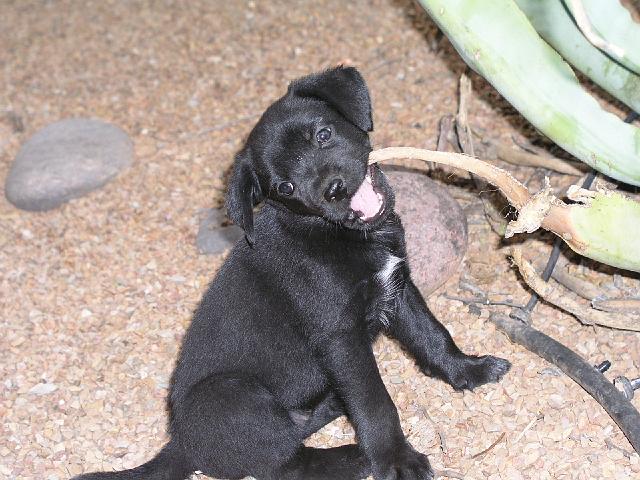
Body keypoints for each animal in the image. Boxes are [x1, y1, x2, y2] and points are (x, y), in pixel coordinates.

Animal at [75, 67, 512, 480]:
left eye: (323, 134)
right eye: (284, 187)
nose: (333, 189)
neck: (338, 234)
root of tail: (180, 444)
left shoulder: (400, 288)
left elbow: (433, 336)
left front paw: (468, 370)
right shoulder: (340, 336)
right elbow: (374, 401)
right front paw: (395, 458)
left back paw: (333, 405)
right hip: (234, 395)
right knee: (284, 462)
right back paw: (353, 458)